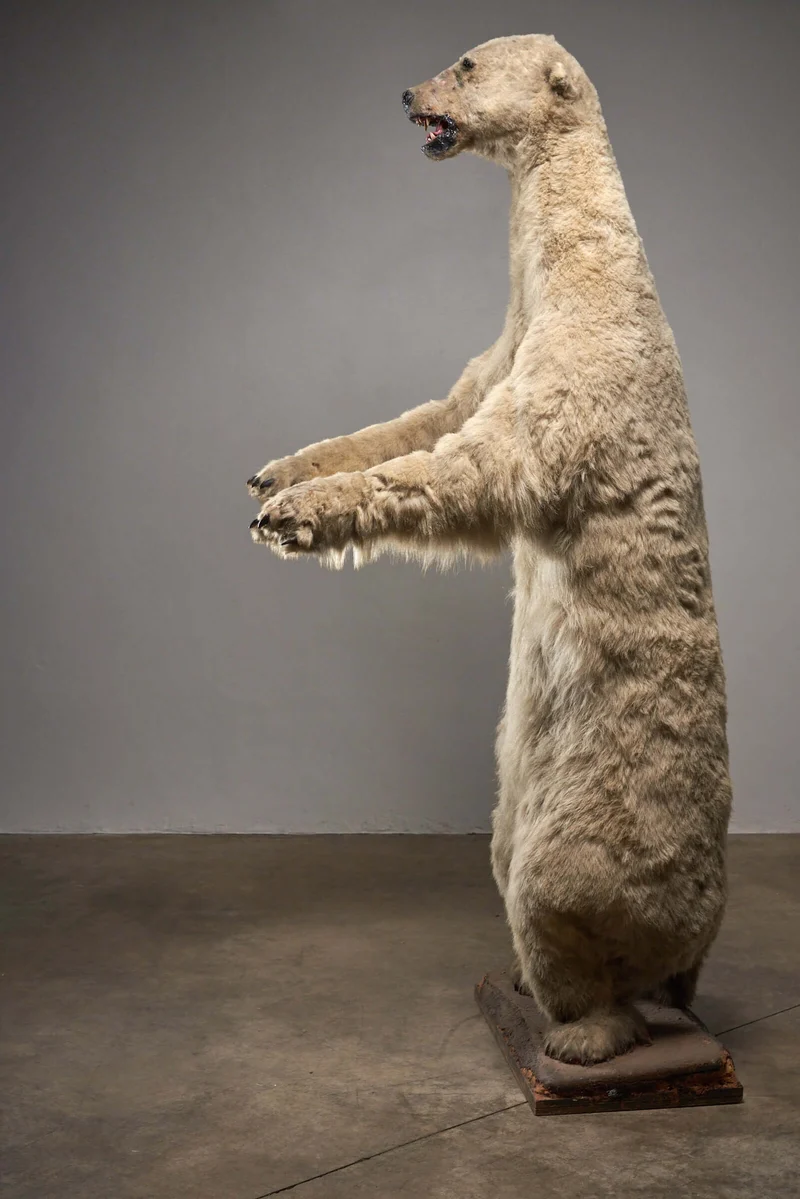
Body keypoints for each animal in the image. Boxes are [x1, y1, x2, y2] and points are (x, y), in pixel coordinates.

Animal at [247, 34, 731, 1065]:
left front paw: (298, 516)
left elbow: (467, 469)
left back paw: (581, 1032)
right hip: (518, 791)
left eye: (465, 63)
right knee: (508, 849)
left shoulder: (571, 389)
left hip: (595, 817)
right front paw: (280, 473)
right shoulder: (502, 354)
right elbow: (427, 416)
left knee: (565, 896)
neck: (585, 282)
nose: (404, 91)